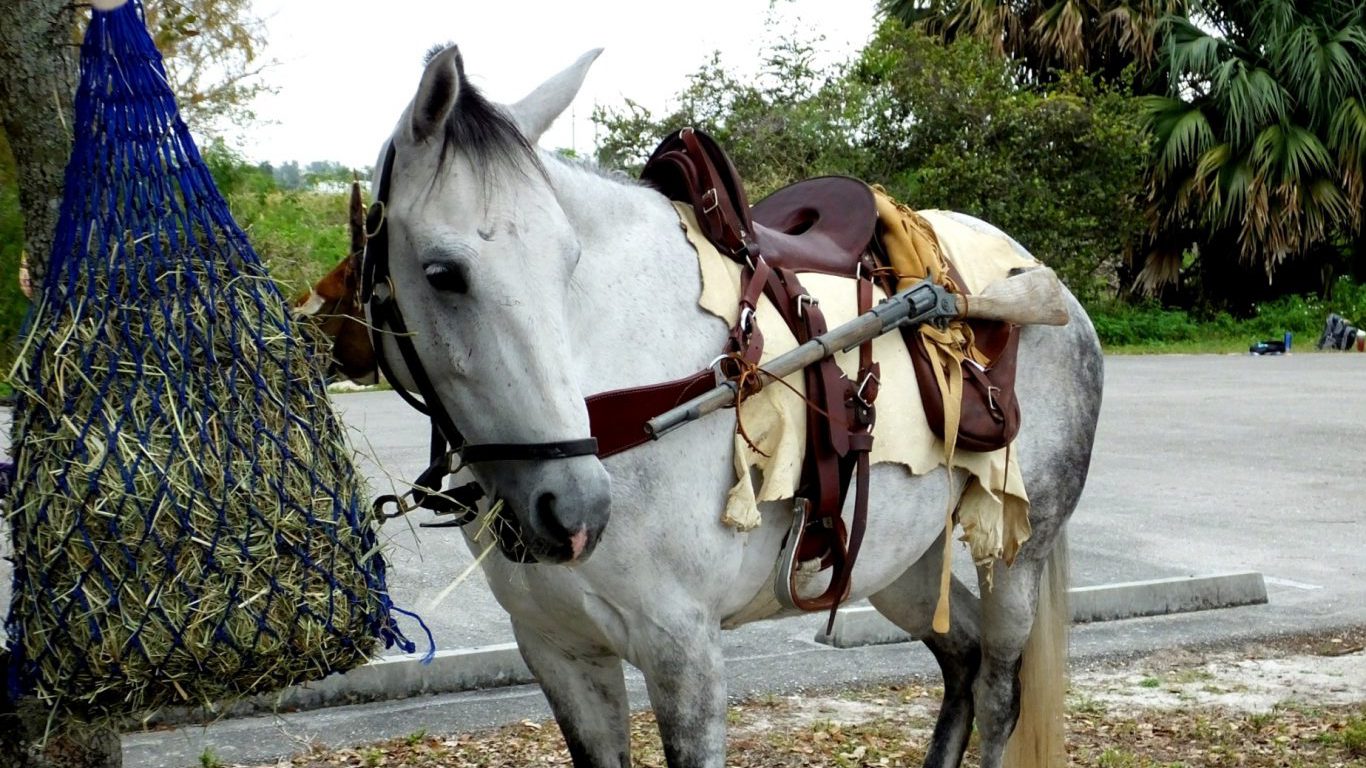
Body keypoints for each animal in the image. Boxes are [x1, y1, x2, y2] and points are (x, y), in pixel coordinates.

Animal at [360, 44, 1098, 759]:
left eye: (569, 261)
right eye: (440, 273)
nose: (573, 509)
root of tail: (1047, 285)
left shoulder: (684, 651)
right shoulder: (559, 651)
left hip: (1017, 557)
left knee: (1000, 693)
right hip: (900, 561)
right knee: (962, 658)